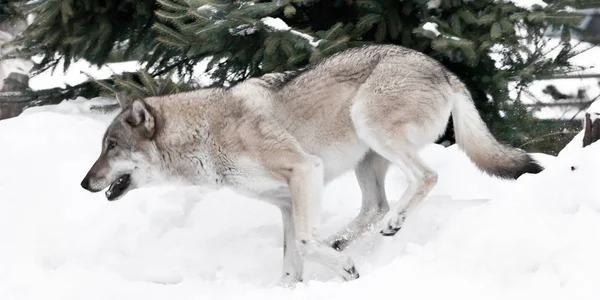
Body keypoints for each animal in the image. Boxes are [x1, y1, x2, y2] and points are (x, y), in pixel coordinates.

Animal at [79, 44, 544, 286]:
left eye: (111, 146)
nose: (84, 183)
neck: (206, 133)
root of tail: (443, 69)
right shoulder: (288, 203)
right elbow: (291, 260)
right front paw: (292, 288)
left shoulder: (304, 172)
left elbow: (302, 244)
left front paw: (346, 269)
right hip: (366, 160)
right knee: (374, 206)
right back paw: (342, 241)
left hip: (371, 128)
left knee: (425, 177)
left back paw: (389, 227)